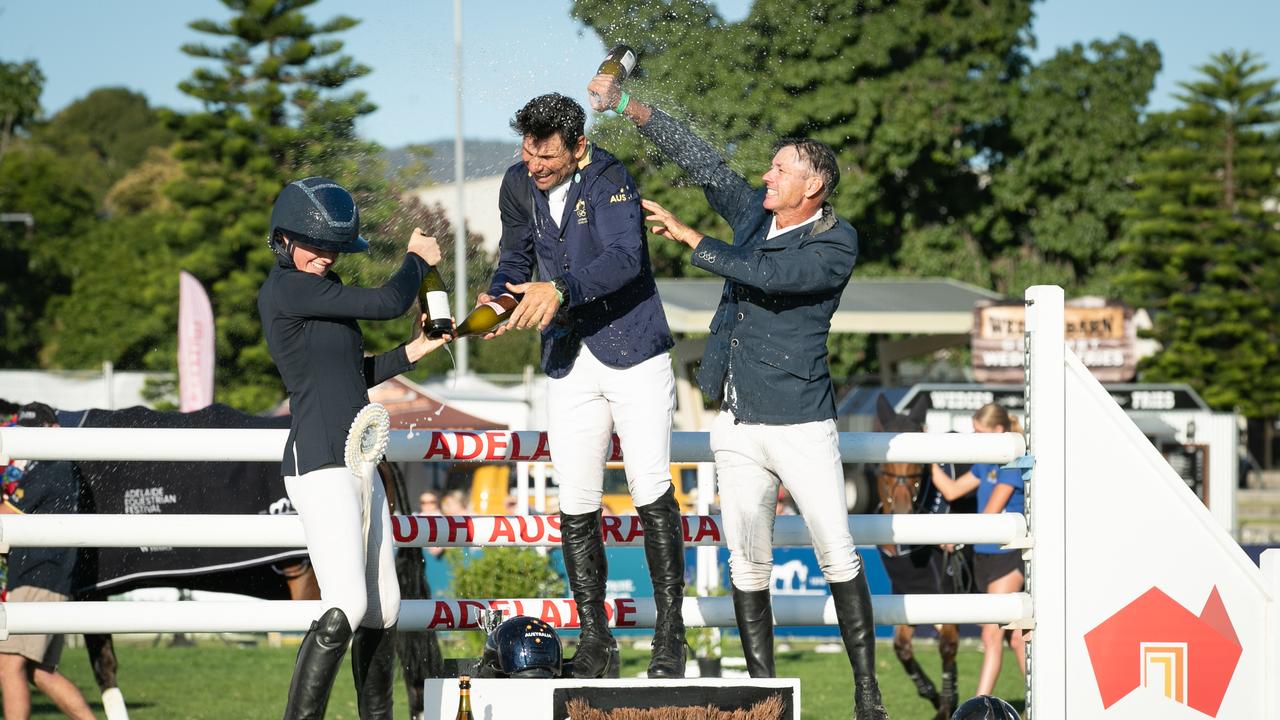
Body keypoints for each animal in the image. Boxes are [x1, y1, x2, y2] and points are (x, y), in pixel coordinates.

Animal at [870, 392, 967, 717]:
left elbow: (948, 647)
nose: (902, 508)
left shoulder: (948, 596)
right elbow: (902, 648)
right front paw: (932, 693)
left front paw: (946, 704)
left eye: (918, 460)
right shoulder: (908, 596)